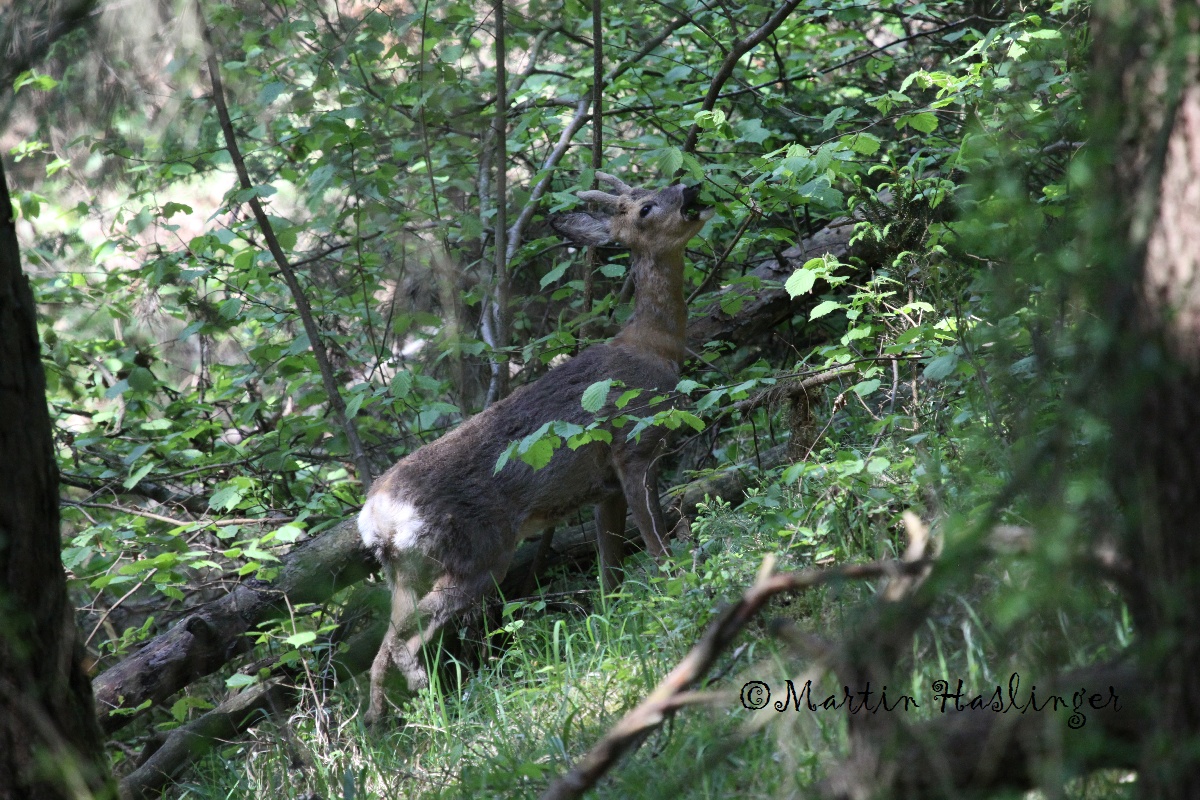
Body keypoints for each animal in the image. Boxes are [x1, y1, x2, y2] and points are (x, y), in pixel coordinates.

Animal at [358, 172, 713, 723]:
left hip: (407, 572)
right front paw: (677, 587)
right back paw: (431, 701)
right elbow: (655, 541)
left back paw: (386, 723)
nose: (691, 187)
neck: (654, 347)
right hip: (479, 551)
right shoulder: (635, 446)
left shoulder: (604, 488)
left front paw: (617, 619)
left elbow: (610, 570)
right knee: (404, 642)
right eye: (645, 209)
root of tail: (377, 517)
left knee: (383, 648)